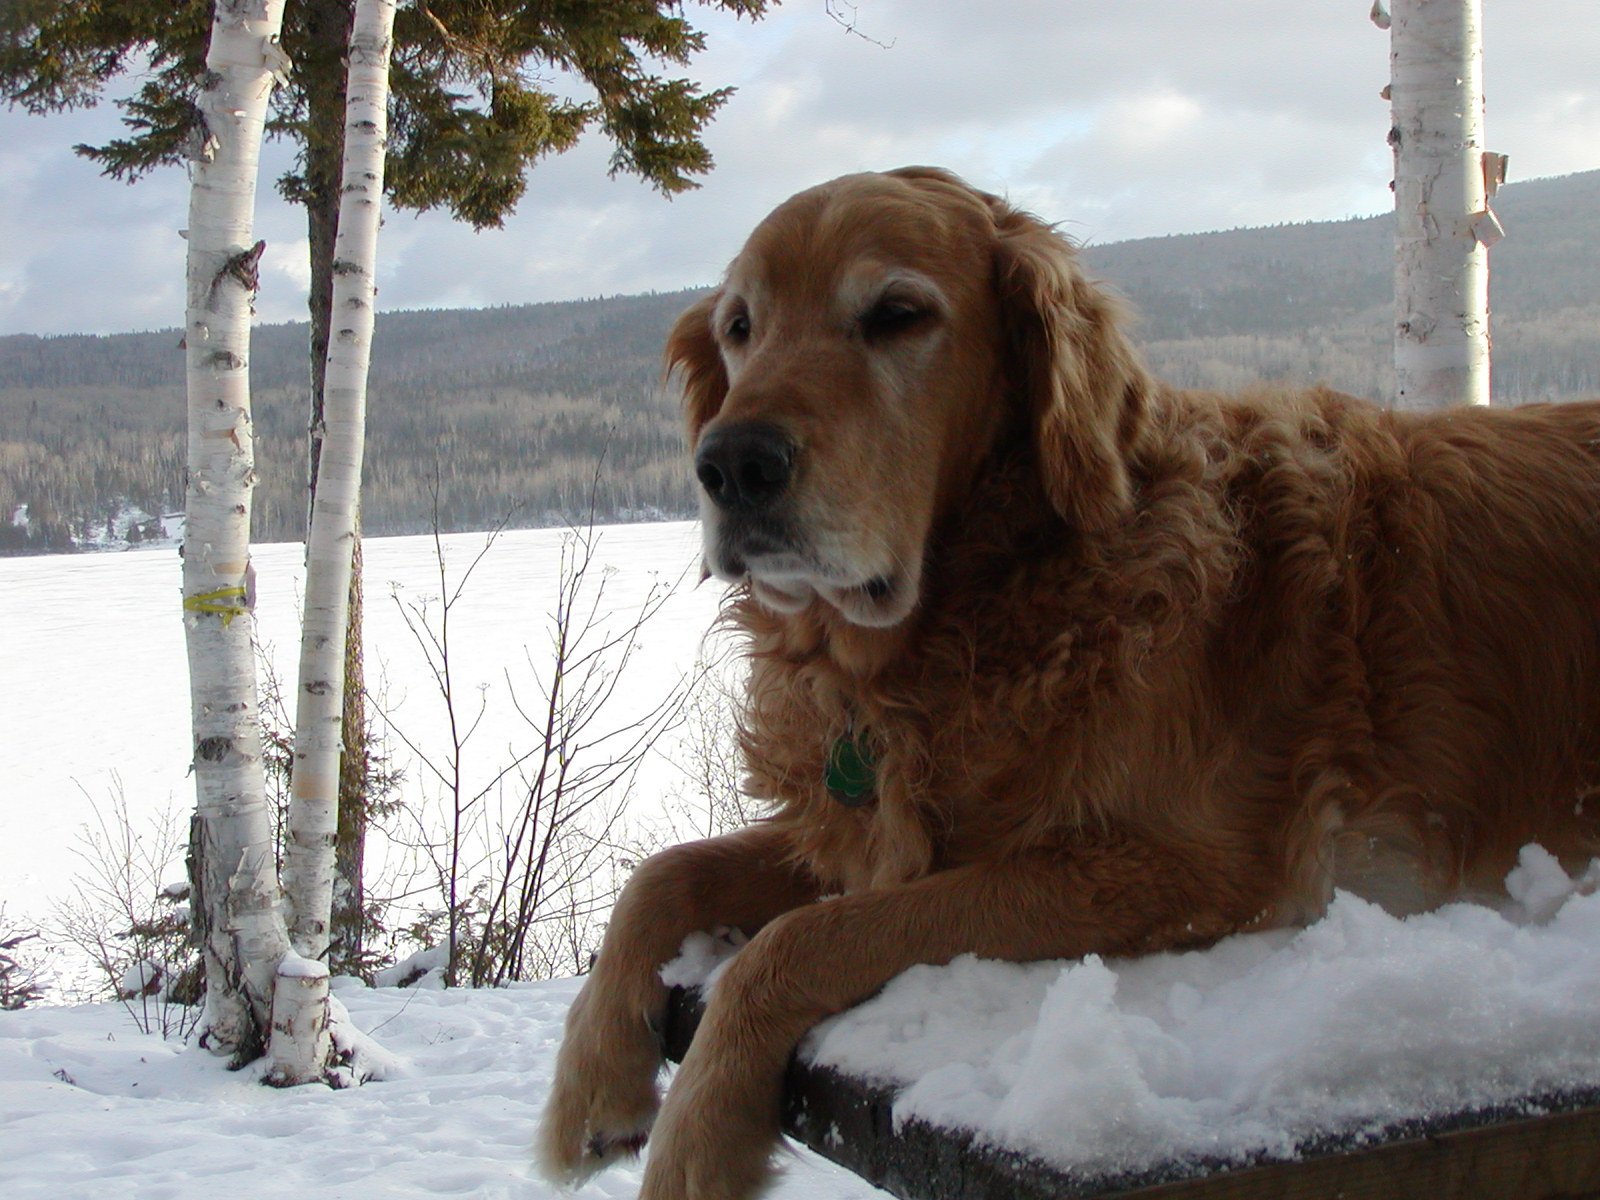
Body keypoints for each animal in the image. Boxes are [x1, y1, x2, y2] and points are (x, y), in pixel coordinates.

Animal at [537, 169, 1600, 1200]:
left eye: (896, 314)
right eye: (739, 327)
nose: (729, 463)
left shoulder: (1181, 869)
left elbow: (799, 940)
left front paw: (695, 1144)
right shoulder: (867, 830)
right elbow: (662, 874)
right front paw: (592, 1090)